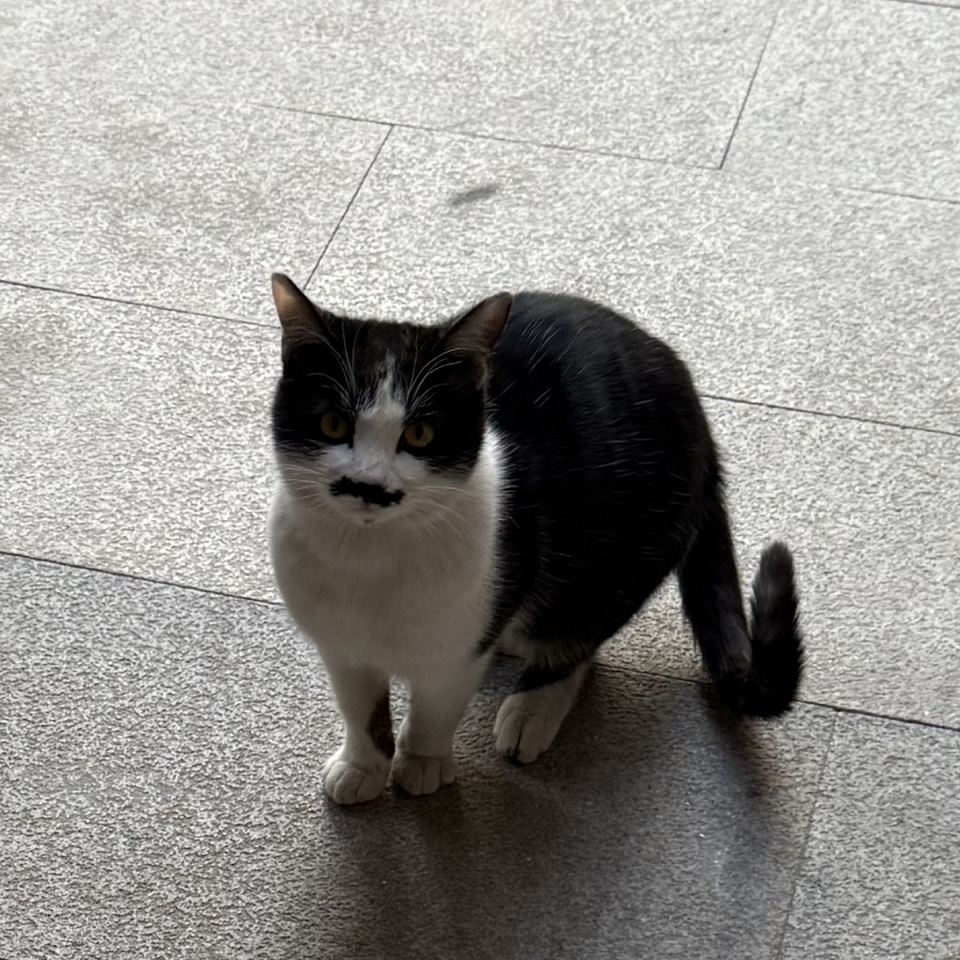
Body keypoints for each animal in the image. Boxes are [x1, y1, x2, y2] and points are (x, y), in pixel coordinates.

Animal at [268, 273, 804, 805]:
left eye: (419, 434)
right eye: (333, 423)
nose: (369, 485)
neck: (368, 560)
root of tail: (697, 407)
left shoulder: (460, 646)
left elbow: (436, 708)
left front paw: (422, 761)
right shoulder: (340, 646)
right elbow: (360, 709)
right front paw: (363, 766)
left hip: (617, 554)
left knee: (577, 636)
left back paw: (532, 709)